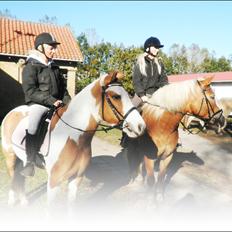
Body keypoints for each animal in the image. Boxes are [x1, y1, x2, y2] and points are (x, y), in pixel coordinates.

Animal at [1, 70, 145, 207]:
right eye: (116, 96)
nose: (141, 126)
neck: (74, 138)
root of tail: (12, 112)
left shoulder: (76, 178)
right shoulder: (54, 182)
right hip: (10, 158)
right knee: (13, 179)